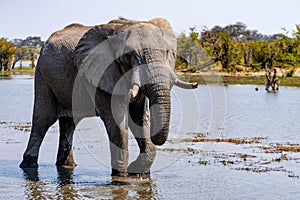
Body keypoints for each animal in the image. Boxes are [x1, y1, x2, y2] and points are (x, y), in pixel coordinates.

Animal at [18, 17, 197, 177]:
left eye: (168, 53)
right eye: (128, 55)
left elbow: (138, 118)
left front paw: (139, 173)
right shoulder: (103, 73)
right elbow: (117, 120)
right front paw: (122, 176)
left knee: (69, 123)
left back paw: (67, 165)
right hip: (42, 74)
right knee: (43, 120)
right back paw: (28, 165)